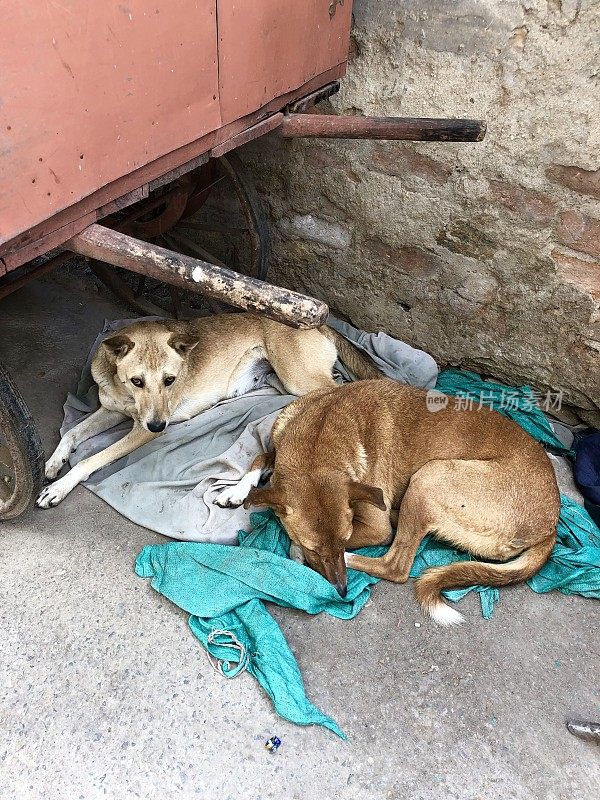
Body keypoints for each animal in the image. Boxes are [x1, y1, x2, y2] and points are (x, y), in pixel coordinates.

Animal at [35, 312, 378, 506]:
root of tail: (319, 323)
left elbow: (89, 460)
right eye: (137, 381)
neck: (125, 393)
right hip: (282, 382)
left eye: (170, 380)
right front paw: (53, 462)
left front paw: (59, 488)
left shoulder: (140, 431)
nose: (158, 427)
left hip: (299, 378)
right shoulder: (113, 410)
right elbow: (72, 433)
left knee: (342, 390)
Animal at [220, 378, 564, 620]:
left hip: (429, 478)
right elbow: (261, 457)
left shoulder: (375, 527)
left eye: (343, 538)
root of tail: (551, 526)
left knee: (396, 565)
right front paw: (236, 491)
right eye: (314, 547)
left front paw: (300, 551)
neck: (322, 431)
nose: (342, 591)